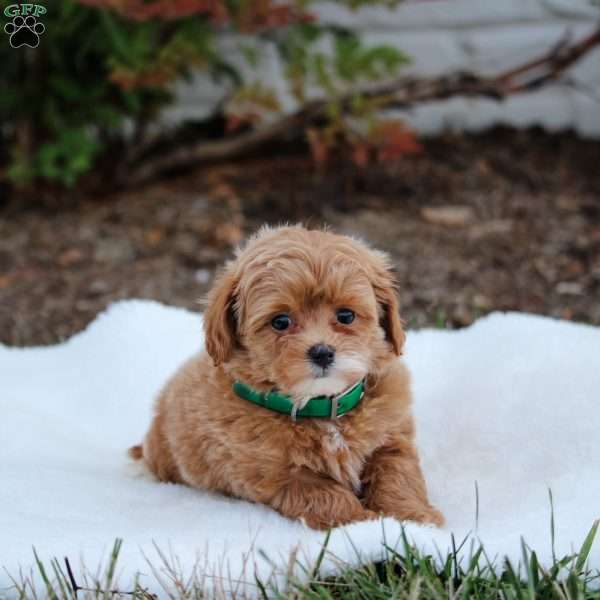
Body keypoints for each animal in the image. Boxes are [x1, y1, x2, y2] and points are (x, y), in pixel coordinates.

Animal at [131, 225, 440, 528]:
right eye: (280, 322)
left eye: (346, 316)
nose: (322, 352)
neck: (320, 408)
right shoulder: (277, 476)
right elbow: (327, 496)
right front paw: (362, 522)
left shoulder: (393, 438)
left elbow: (398, 475)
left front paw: (414, 518)